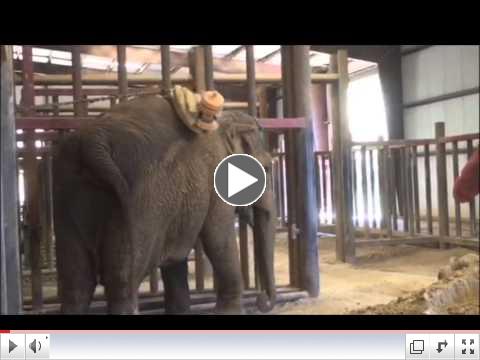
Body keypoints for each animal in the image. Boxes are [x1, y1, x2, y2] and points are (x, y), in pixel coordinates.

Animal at [52, 94, 276, 314]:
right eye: (266, 169)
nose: (263, 301)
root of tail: (93, 143)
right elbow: (218, 237)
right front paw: (229, 312)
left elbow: (177, 256)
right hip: (140, 203)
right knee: (123, 281)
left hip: (67, 193)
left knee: (77, 282)